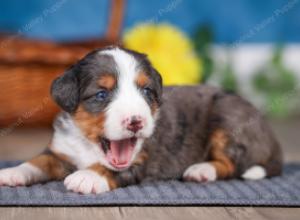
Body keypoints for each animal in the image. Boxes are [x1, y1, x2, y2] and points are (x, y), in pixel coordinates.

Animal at [0, 46, 282, 194]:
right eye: (101, 94)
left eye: (146, 92)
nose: (135, 122)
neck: (89, 147)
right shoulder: (60, 151)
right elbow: (37, 161)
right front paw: (12, 172)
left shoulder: (141, 160)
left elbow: (111, 168)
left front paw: (86, 177)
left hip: (227, 118)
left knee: (232, 163)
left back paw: (201, 170)